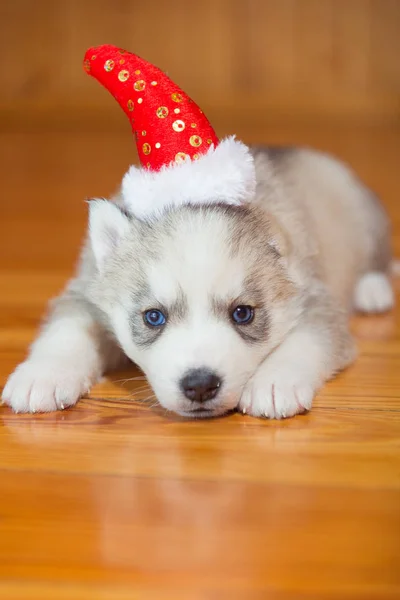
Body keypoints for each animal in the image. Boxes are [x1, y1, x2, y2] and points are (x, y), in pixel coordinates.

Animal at [0, 146, 394, 418]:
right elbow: (67, 330)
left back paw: (373, 289)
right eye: (153, 317)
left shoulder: (315, 299)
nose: (200, 385)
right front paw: (43, 375)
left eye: (243, 314)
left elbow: (307, 340)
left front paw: (274, 381)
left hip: (363, 217)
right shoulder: (85, 290)